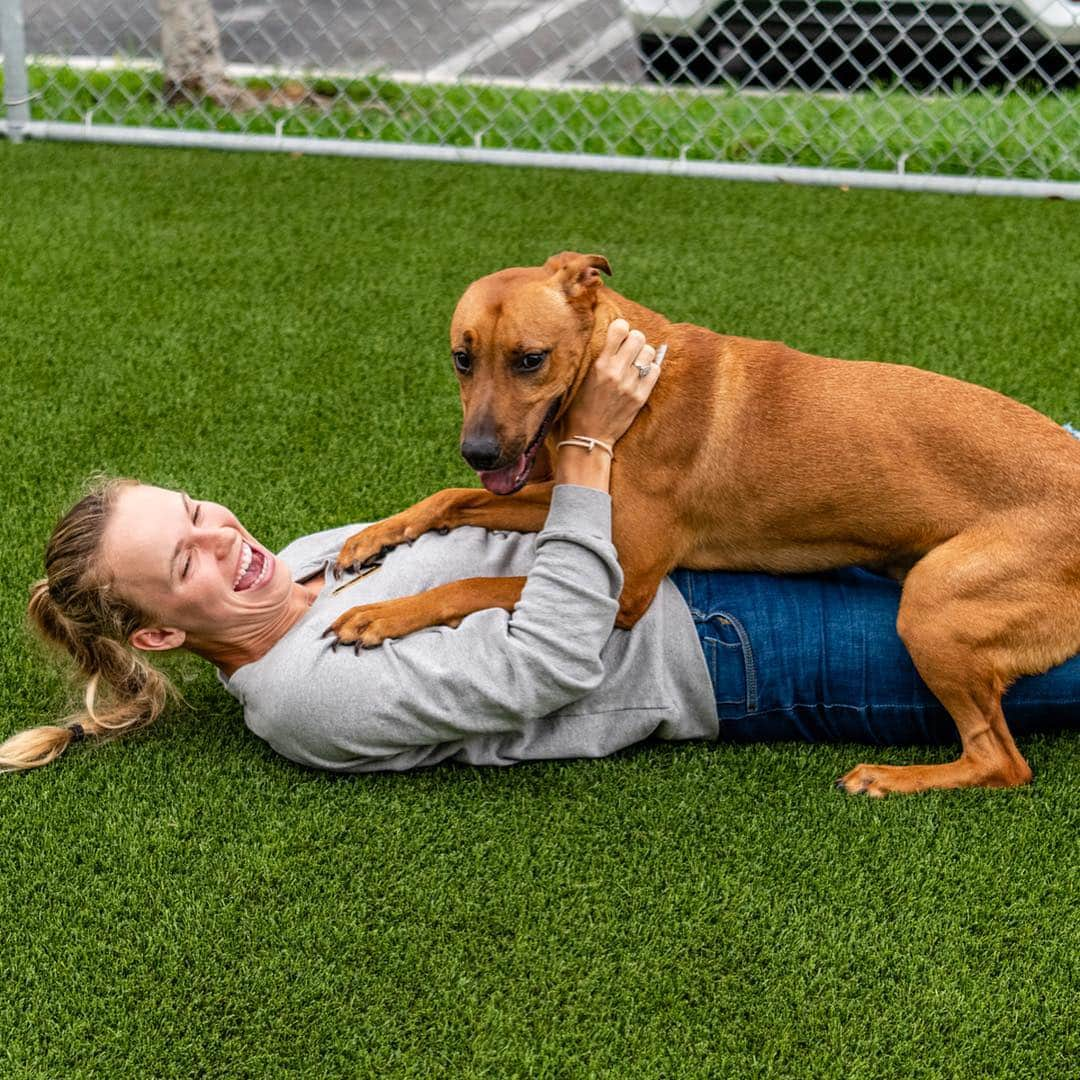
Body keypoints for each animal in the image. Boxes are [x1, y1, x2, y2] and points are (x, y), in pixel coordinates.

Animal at [332, 250, 1080, 794]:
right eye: (463, 358)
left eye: (529, 359)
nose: (480, 450)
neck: (633, 382)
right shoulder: (567, 500)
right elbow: (450, 497)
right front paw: (371, 537)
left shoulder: (626, 585)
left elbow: (467, 586)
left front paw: (381, 614)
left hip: (931, 607)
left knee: (1002, 762)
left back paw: (891, 779)